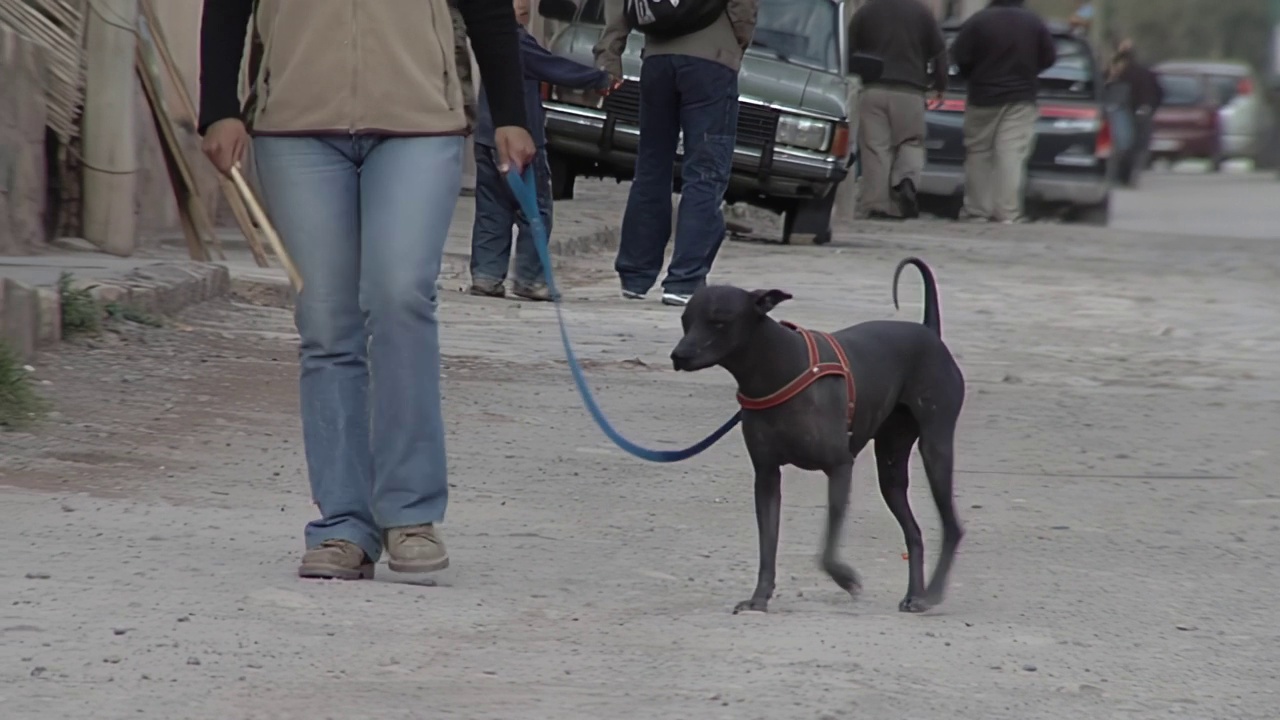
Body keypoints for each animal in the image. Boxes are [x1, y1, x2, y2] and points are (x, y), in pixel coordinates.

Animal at [670, 257, 962, 609]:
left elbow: (825, 551)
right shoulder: (766, 477)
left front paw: (846, 579)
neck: (779, 368)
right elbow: (767, 546)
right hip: (891, 468)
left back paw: (931, 594)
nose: (678, 356)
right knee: (914, 533)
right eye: (685, 321)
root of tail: (929, 332)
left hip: (935, 449)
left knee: (952, 527)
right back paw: (915, 594)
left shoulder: (839, 468)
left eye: (719, 322)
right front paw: (759, 598)